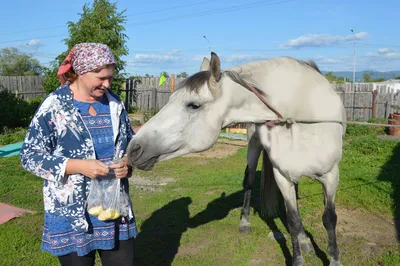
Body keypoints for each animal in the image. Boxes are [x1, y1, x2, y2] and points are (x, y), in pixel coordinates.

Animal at [126, 52, 346, 266]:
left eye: (193, 105)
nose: (133, 149)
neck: (300, 119)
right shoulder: (282, 177)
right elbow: (293, 219)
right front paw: (298, 259)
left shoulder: (331, 176)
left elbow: (329, 218)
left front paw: (334, 259)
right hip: (254, 146)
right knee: (249, 181)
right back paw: (245, 223)